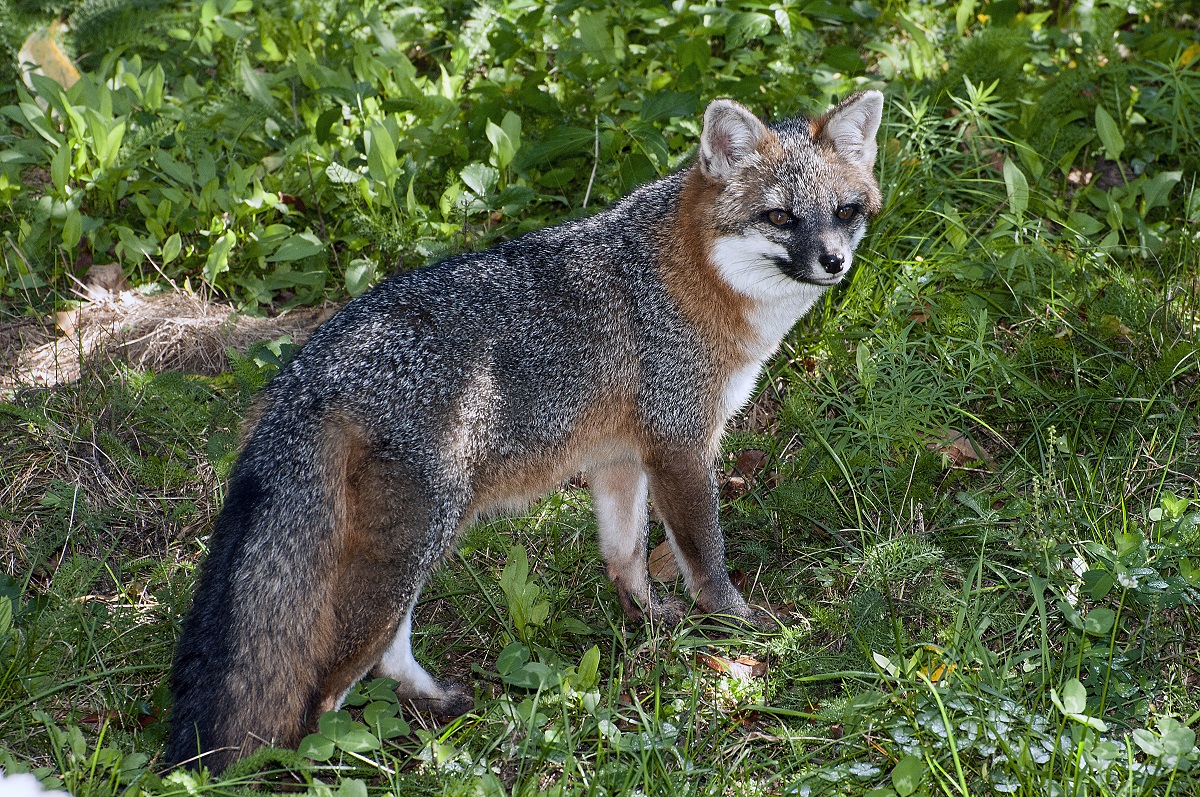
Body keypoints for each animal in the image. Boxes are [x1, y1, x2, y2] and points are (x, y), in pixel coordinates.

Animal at [166, 90, 883, 768]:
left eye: (846, 210)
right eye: (781, 217)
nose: (834, 261)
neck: (692, 275)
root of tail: (313, 363)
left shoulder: (618, 458)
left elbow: (625, 555)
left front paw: (649, 617)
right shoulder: (681, 445)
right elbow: (705, 556)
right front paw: (737, 623)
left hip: (413, 551)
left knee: (387, 653)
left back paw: (436, 703)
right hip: (416, 543)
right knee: (324, 692)